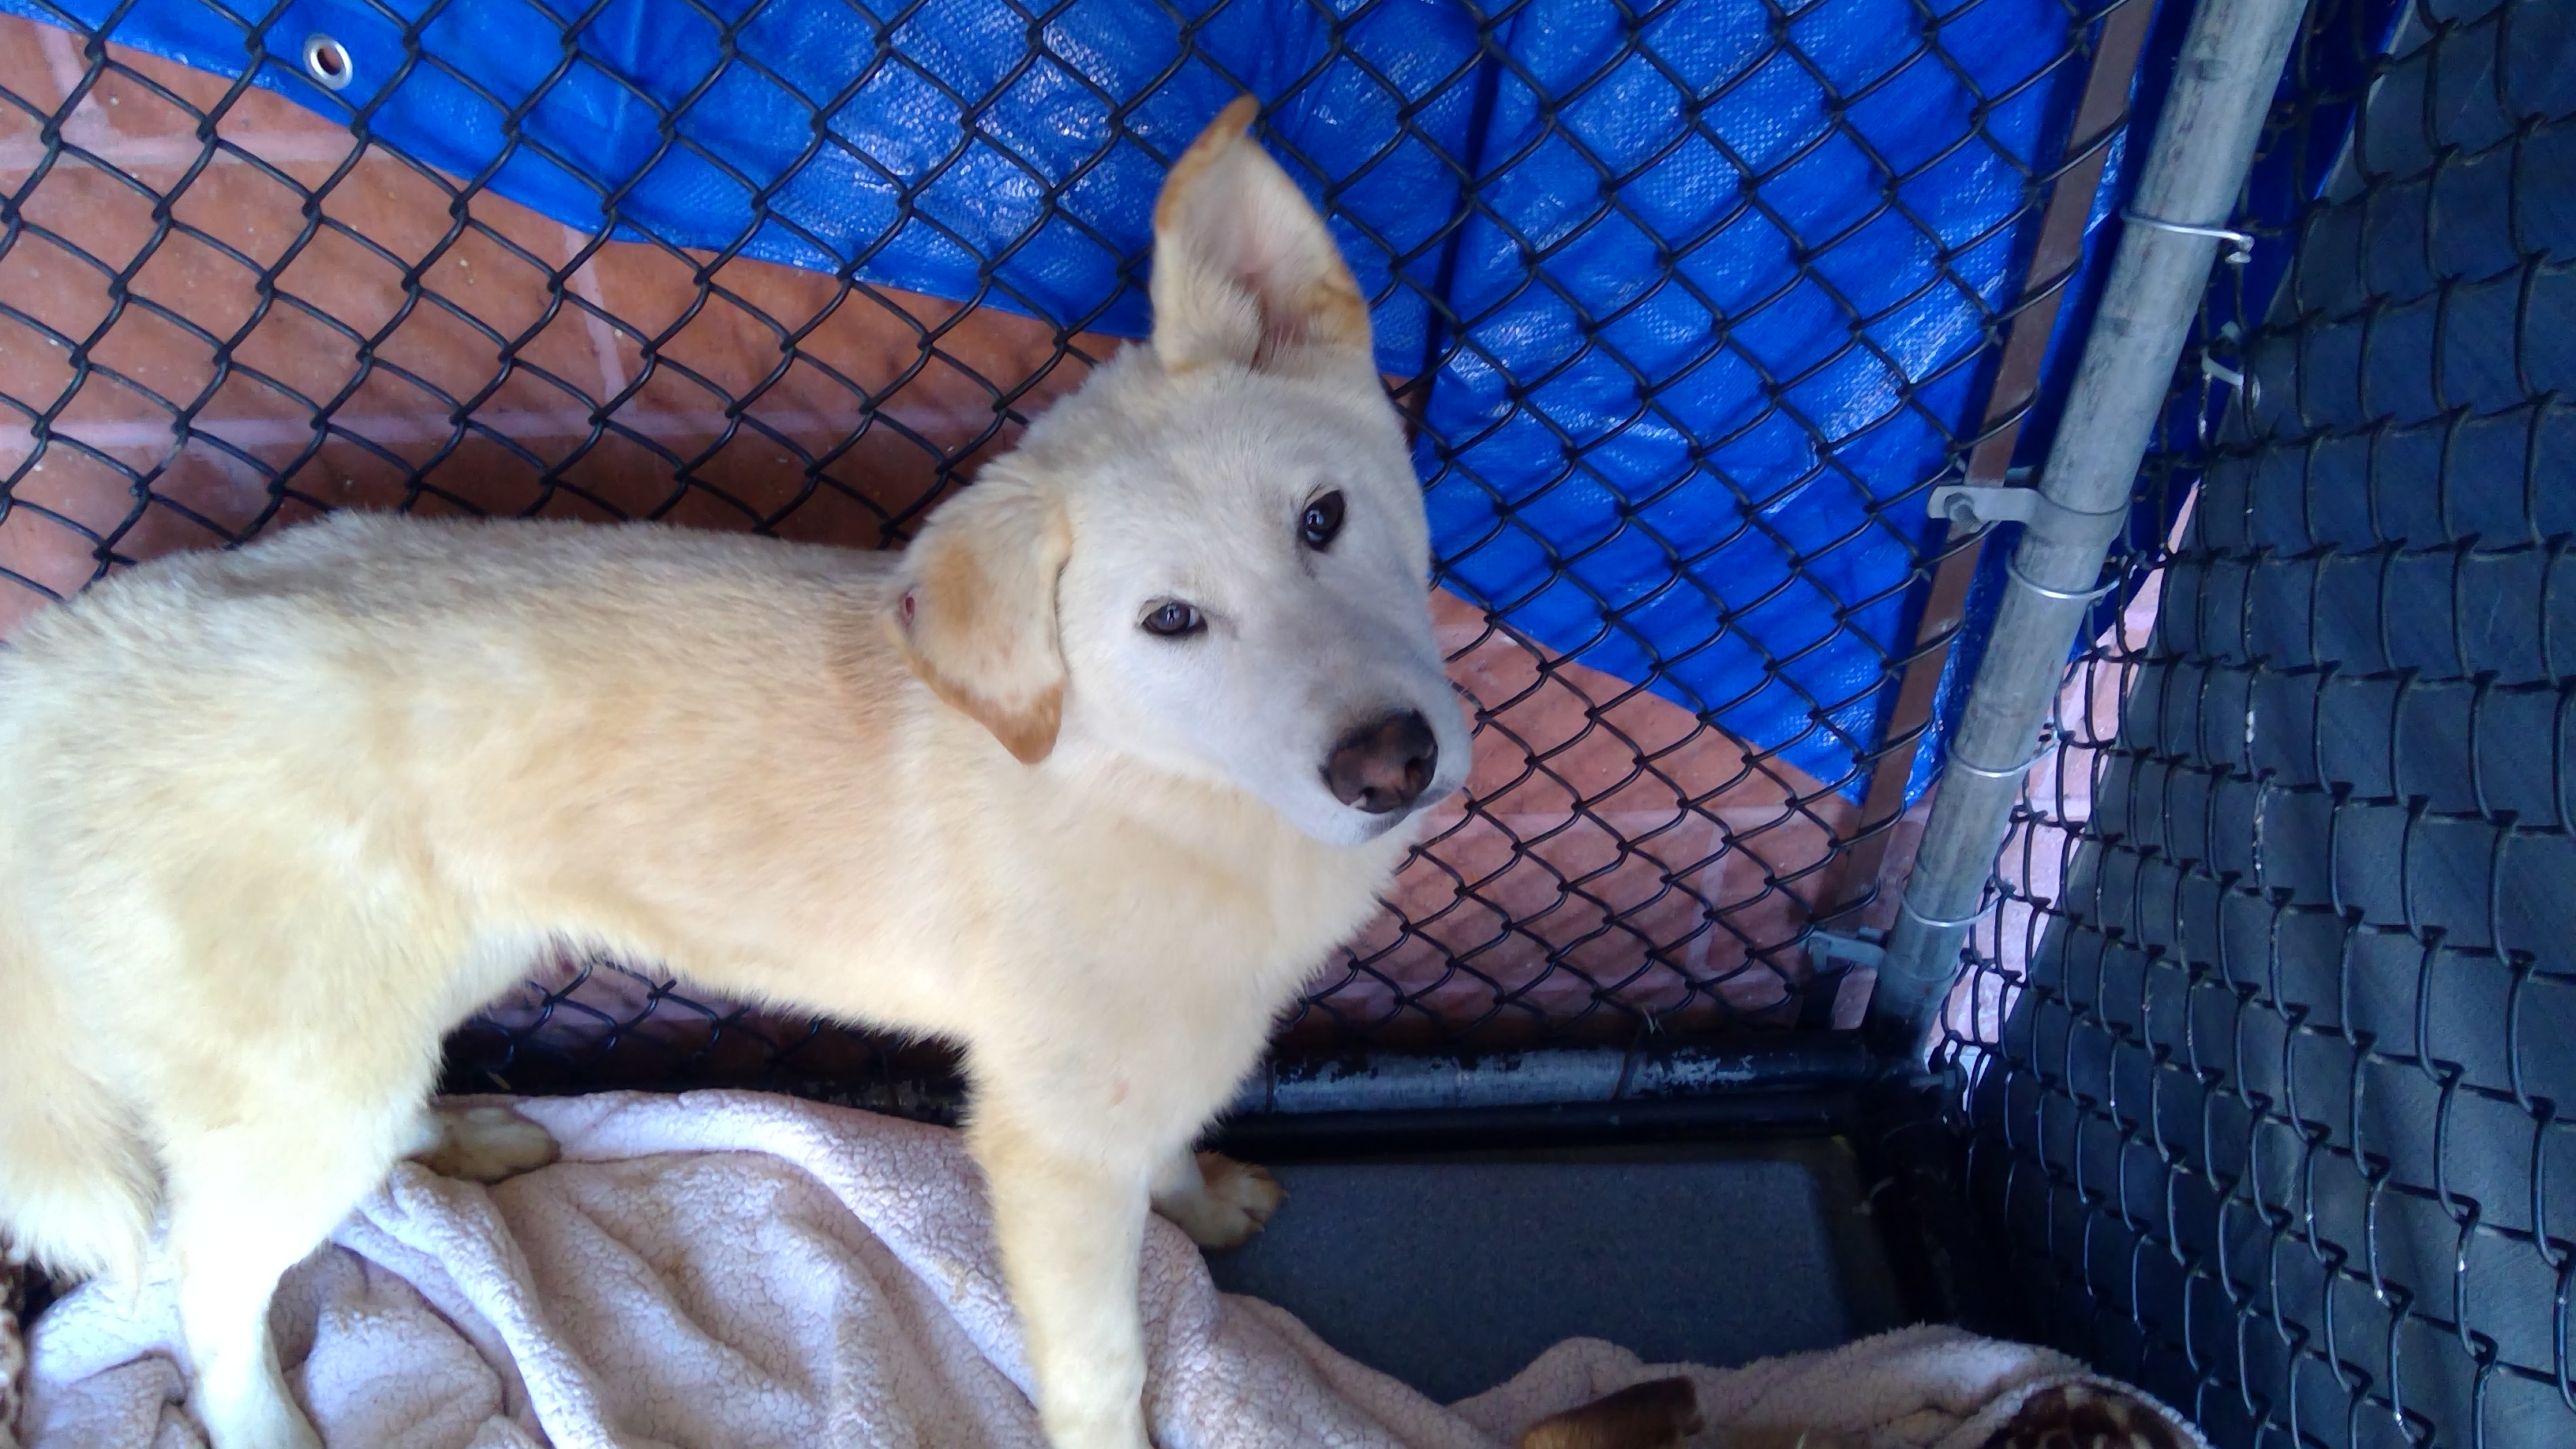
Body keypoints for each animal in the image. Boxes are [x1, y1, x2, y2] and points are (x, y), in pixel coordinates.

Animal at [0, 96, 1469, 1449]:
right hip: (307, 1078)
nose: (1390, 762)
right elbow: (1102, 1372)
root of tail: (56, 660)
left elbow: (1163, 1152)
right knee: (205, 1282)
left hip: (395, 1011)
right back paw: (266, 1416)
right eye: (1170, 622)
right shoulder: (1048, 1144)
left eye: (1323, 519)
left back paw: (461, 1144)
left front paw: (1201, 1197)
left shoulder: (1132, 1079)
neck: (1155, 782)